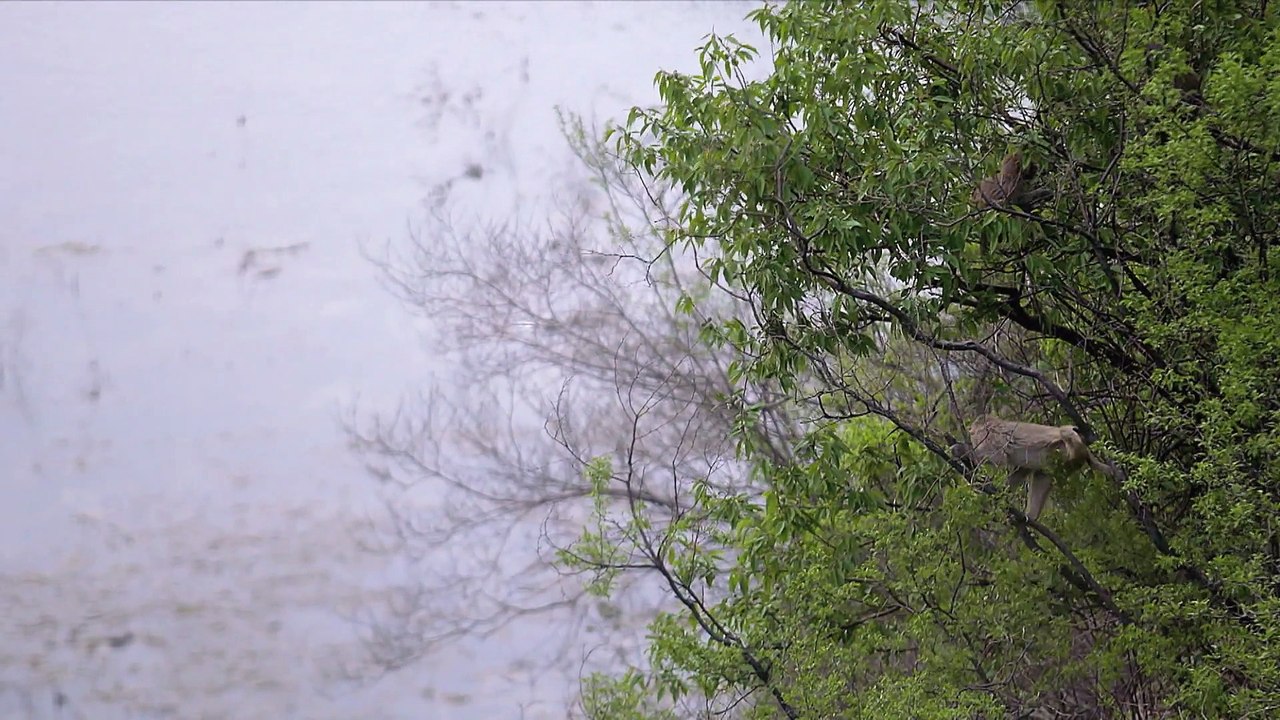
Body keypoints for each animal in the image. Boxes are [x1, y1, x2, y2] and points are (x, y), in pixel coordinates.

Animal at [949, 415, 1116, 521]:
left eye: (974, 433)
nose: (971, 434)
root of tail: (1084, 452)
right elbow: (1021, 470)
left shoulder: (989, 435)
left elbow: (996, 459)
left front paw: (961, 450)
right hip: (1065, 462)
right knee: (1042, 474)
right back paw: (1031, 516)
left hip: (1067, 449)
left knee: (1064, 433)